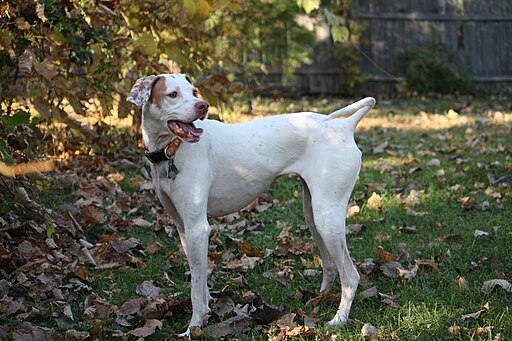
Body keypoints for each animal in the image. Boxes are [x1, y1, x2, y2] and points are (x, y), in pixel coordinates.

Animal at [128, 73, 376, 334]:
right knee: (330, 265)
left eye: (194, 92)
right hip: (314, 215)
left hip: (327, 218)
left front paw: (194, 327)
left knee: (350, 276)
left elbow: (196, 288)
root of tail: (344, 126)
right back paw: (320, 299)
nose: (203, 105)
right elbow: (200, 279)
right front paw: (206, 311)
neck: (172, 152)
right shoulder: (184, 229)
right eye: (173, 94)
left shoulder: (198, 229)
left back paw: (339, 319)